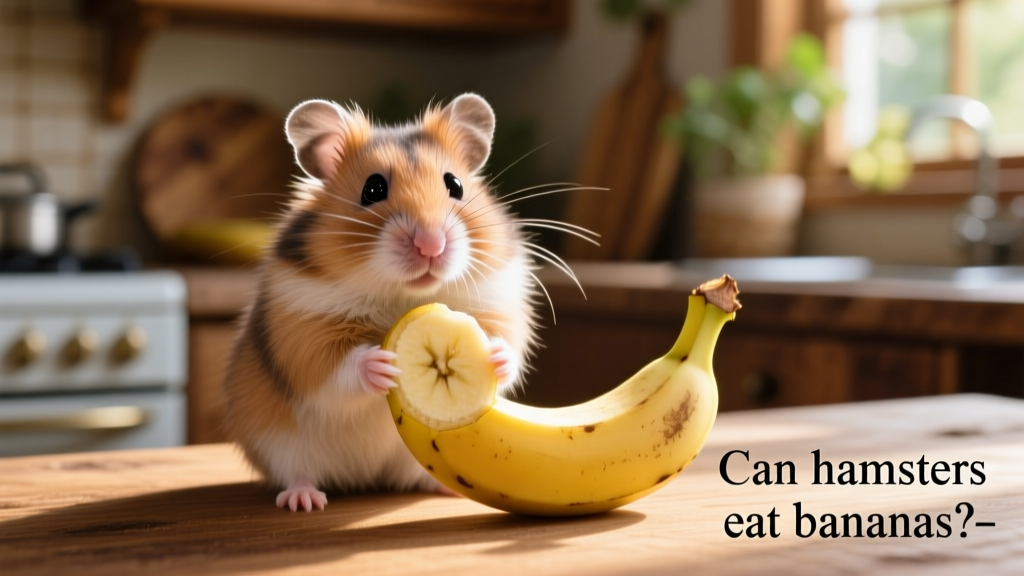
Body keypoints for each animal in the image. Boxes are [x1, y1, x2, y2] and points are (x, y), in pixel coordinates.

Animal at [222, 93, 540, 512]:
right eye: (372, 189)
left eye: (454, 185)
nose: (431, 246)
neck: (403, 295)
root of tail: (364, 478)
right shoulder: (302, 333)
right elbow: (335, 370)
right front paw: (381, 365)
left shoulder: (501, 304)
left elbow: (509, 348)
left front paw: (493, 355)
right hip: (277, 442)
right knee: (296, 472)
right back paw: (304, 500)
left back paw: (448, 489)